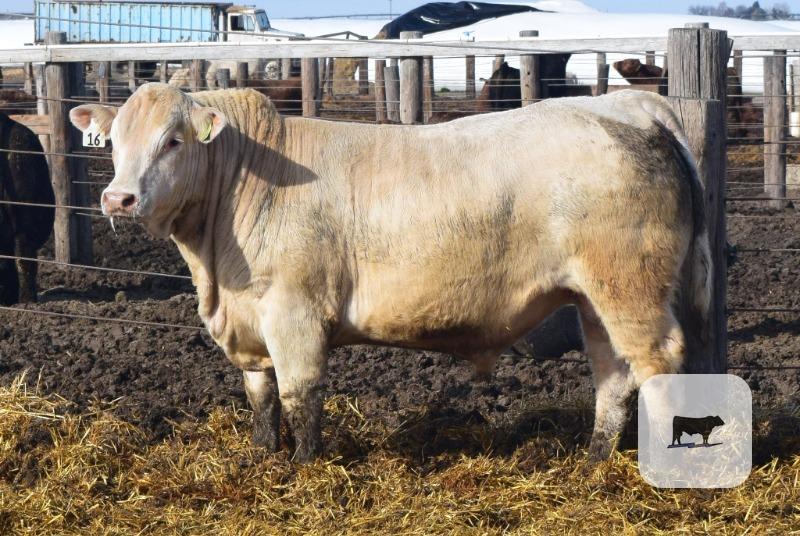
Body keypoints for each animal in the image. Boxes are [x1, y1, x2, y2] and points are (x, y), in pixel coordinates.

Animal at [69, 84, 711, 463]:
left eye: (173, 140)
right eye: (113, 141)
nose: (118, 198)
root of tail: (629, 103)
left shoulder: (295, 313)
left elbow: (300, 394)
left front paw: (304, 467)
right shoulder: (249, 325)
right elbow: (261, 396)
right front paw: (264, 458)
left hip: (629, 287)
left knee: (657, 362)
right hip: (594, 297)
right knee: (613, 374)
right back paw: (595, 458)